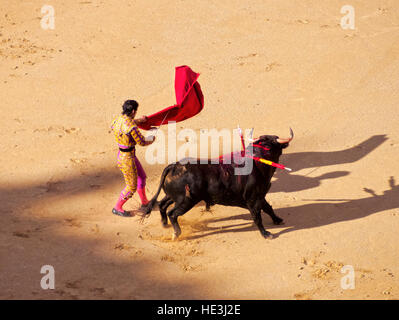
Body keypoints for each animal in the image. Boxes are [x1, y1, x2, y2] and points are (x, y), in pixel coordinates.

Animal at [144, 131, 294, 239]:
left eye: (268, 146)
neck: (257, 164)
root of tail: (174, 166)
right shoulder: (253, 199)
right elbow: (257, 216)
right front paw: (266, 234)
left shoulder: (260, 196)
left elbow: (268, 208)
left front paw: (278, 220)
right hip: (187, 200)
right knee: (173, 213)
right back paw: (176, 233)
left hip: (174, 196)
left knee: (162, 205)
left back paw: (164, 224)